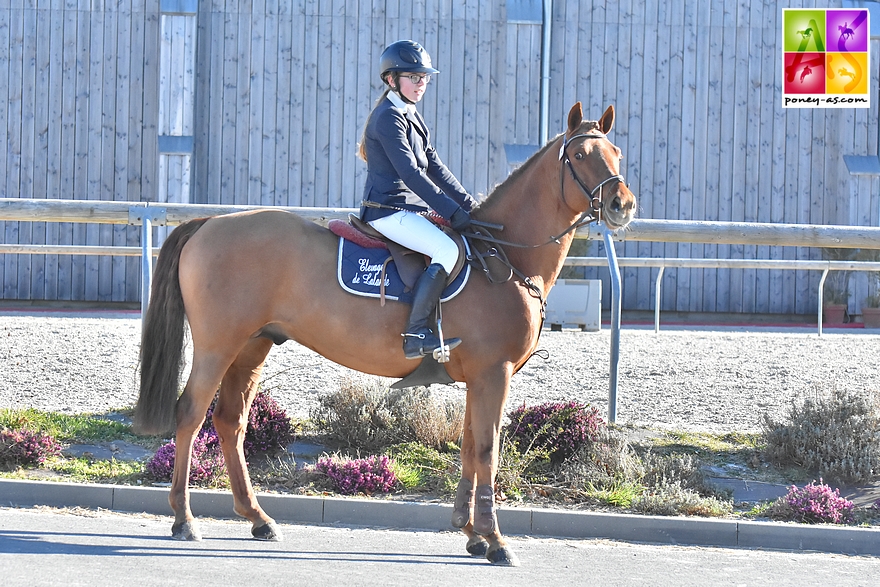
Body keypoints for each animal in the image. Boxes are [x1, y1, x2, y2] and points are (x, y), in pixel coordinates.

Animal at [134, 103, 636, 568]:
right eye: (580, 155)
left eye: (616, 152)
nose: (623, 205)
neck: (503, 257)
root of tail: (210, 223)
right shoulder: (495, 373)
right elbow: (488, 450)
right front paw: (496, 541)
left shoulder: (478, 378)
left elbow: (469, 448)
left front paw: (470, 533)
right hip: (218, 346)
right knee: (190, 415)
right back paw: (184, 519)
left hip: (251, 348)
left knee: (230, 422)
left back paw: (258, 518)